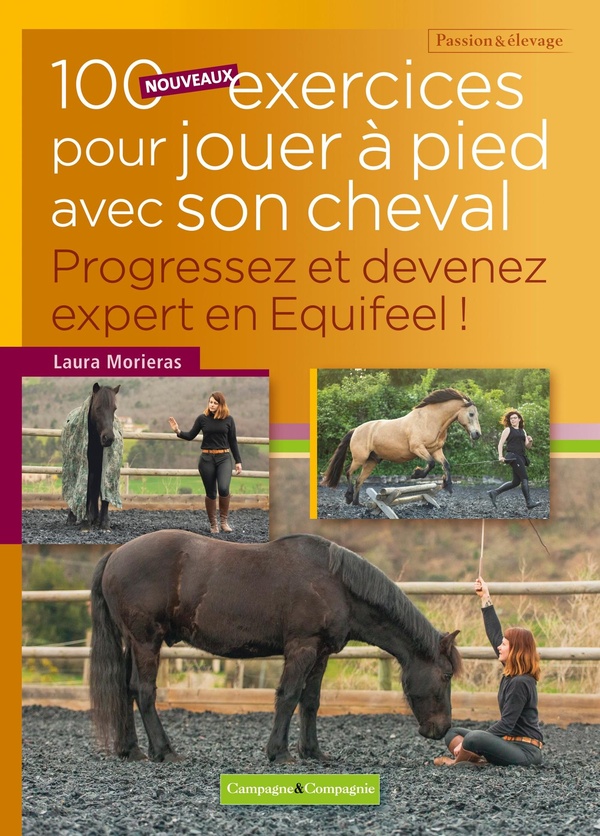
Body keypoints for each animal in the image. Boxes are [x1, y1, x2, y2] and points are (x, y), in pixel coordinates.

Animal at [61, 383, 123, 530]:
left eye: (114, 408)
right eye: (98, 407)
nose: (108, 438)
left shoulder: (102, 468)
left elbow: (101, 492)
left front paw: (104, 522)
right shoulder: (88, 467)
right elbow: (87, 491)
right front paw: (86, 521)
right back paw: (74, 517)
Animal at [90, 530, 461, 764]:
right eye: (446, 676)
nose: (442, 729)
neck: (336, 584)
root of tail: (115, 554)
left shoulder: (321, 653)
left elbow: (311, 701)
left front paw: (313, 752)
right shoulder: (302, 648)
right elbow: (289, 696)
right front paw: (279, 753)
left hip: (132, 643)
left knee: (126, 690)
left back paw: (132, 750)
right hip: (146, 641)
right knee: (144, 691)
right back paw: (165, 751)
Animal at [320, 388, 482, 505]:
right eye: (471, 414)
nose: (477, 434)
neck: (430, 420)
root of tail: (355, 430)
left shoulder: (436, 450)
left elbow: (445, 465)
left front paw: (448, 486)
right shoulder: (417, 448)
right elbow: (431, 463)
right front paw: (416, 474)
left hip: (371, 461)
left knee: (359, 480)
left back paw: (357, 503)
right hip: (360, 458)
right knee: (348, 471)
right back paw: (348, 497)